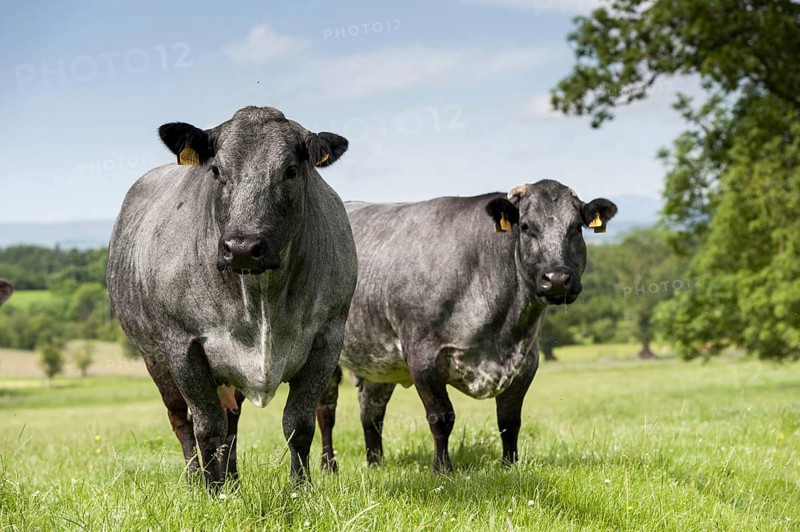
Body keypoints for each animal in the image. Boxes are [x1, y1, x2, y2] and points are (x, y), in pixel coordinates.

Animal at [107, 106, 358, 490]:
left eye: (290, 170)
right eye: (216, 170)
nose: (242, 247)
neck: (261, 296)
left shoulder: (327, 340)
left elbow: (299, 424)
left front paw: (300, 489)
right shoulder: (183, 346)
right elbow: (206, 426)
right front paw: (212, 492)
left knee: (232, 422)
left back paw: (234, 482)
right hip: (156, 359)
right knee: (182, 420)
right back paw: (197, 481)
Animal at [316, 180, 617, 473]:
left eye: (576, 227)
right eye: (527, 227)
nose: (556, 279)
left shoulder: (526, 362)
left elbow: (509, 421)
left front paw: (510, 466)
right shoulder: (423, 358)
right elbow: (441, 417)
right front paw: (442, 470)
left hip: (380, 359)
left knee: (371, 413)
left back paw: (376, 464)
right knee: (325, 411)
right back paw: (329, 465)